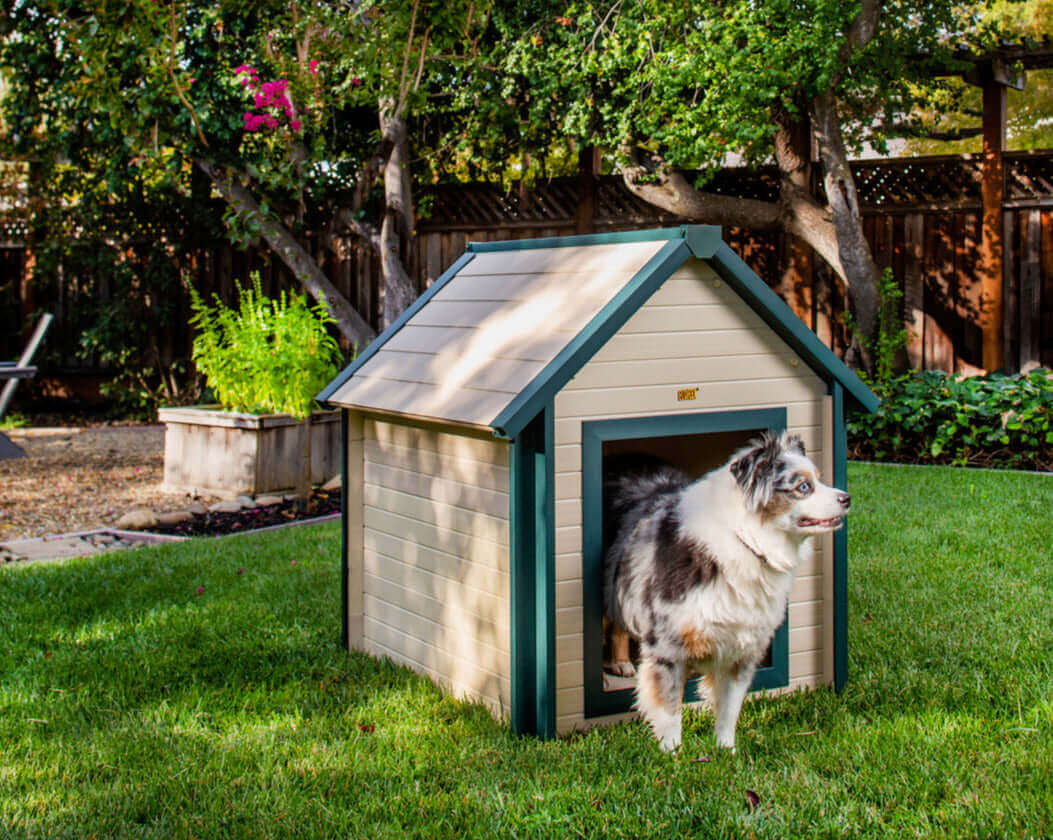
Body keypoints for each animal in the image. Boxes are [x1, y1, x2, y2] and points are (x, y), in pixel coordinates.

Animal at [602, 431, 846, 753]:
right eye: (803, 487)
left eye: (820, 478)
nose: (847, 499)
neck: (745, 540)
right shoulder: (667, 646)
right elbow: (669, 710)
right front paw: (672, 754)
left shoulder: (741, 650)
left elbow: (730, 707)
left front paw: (726, 752)